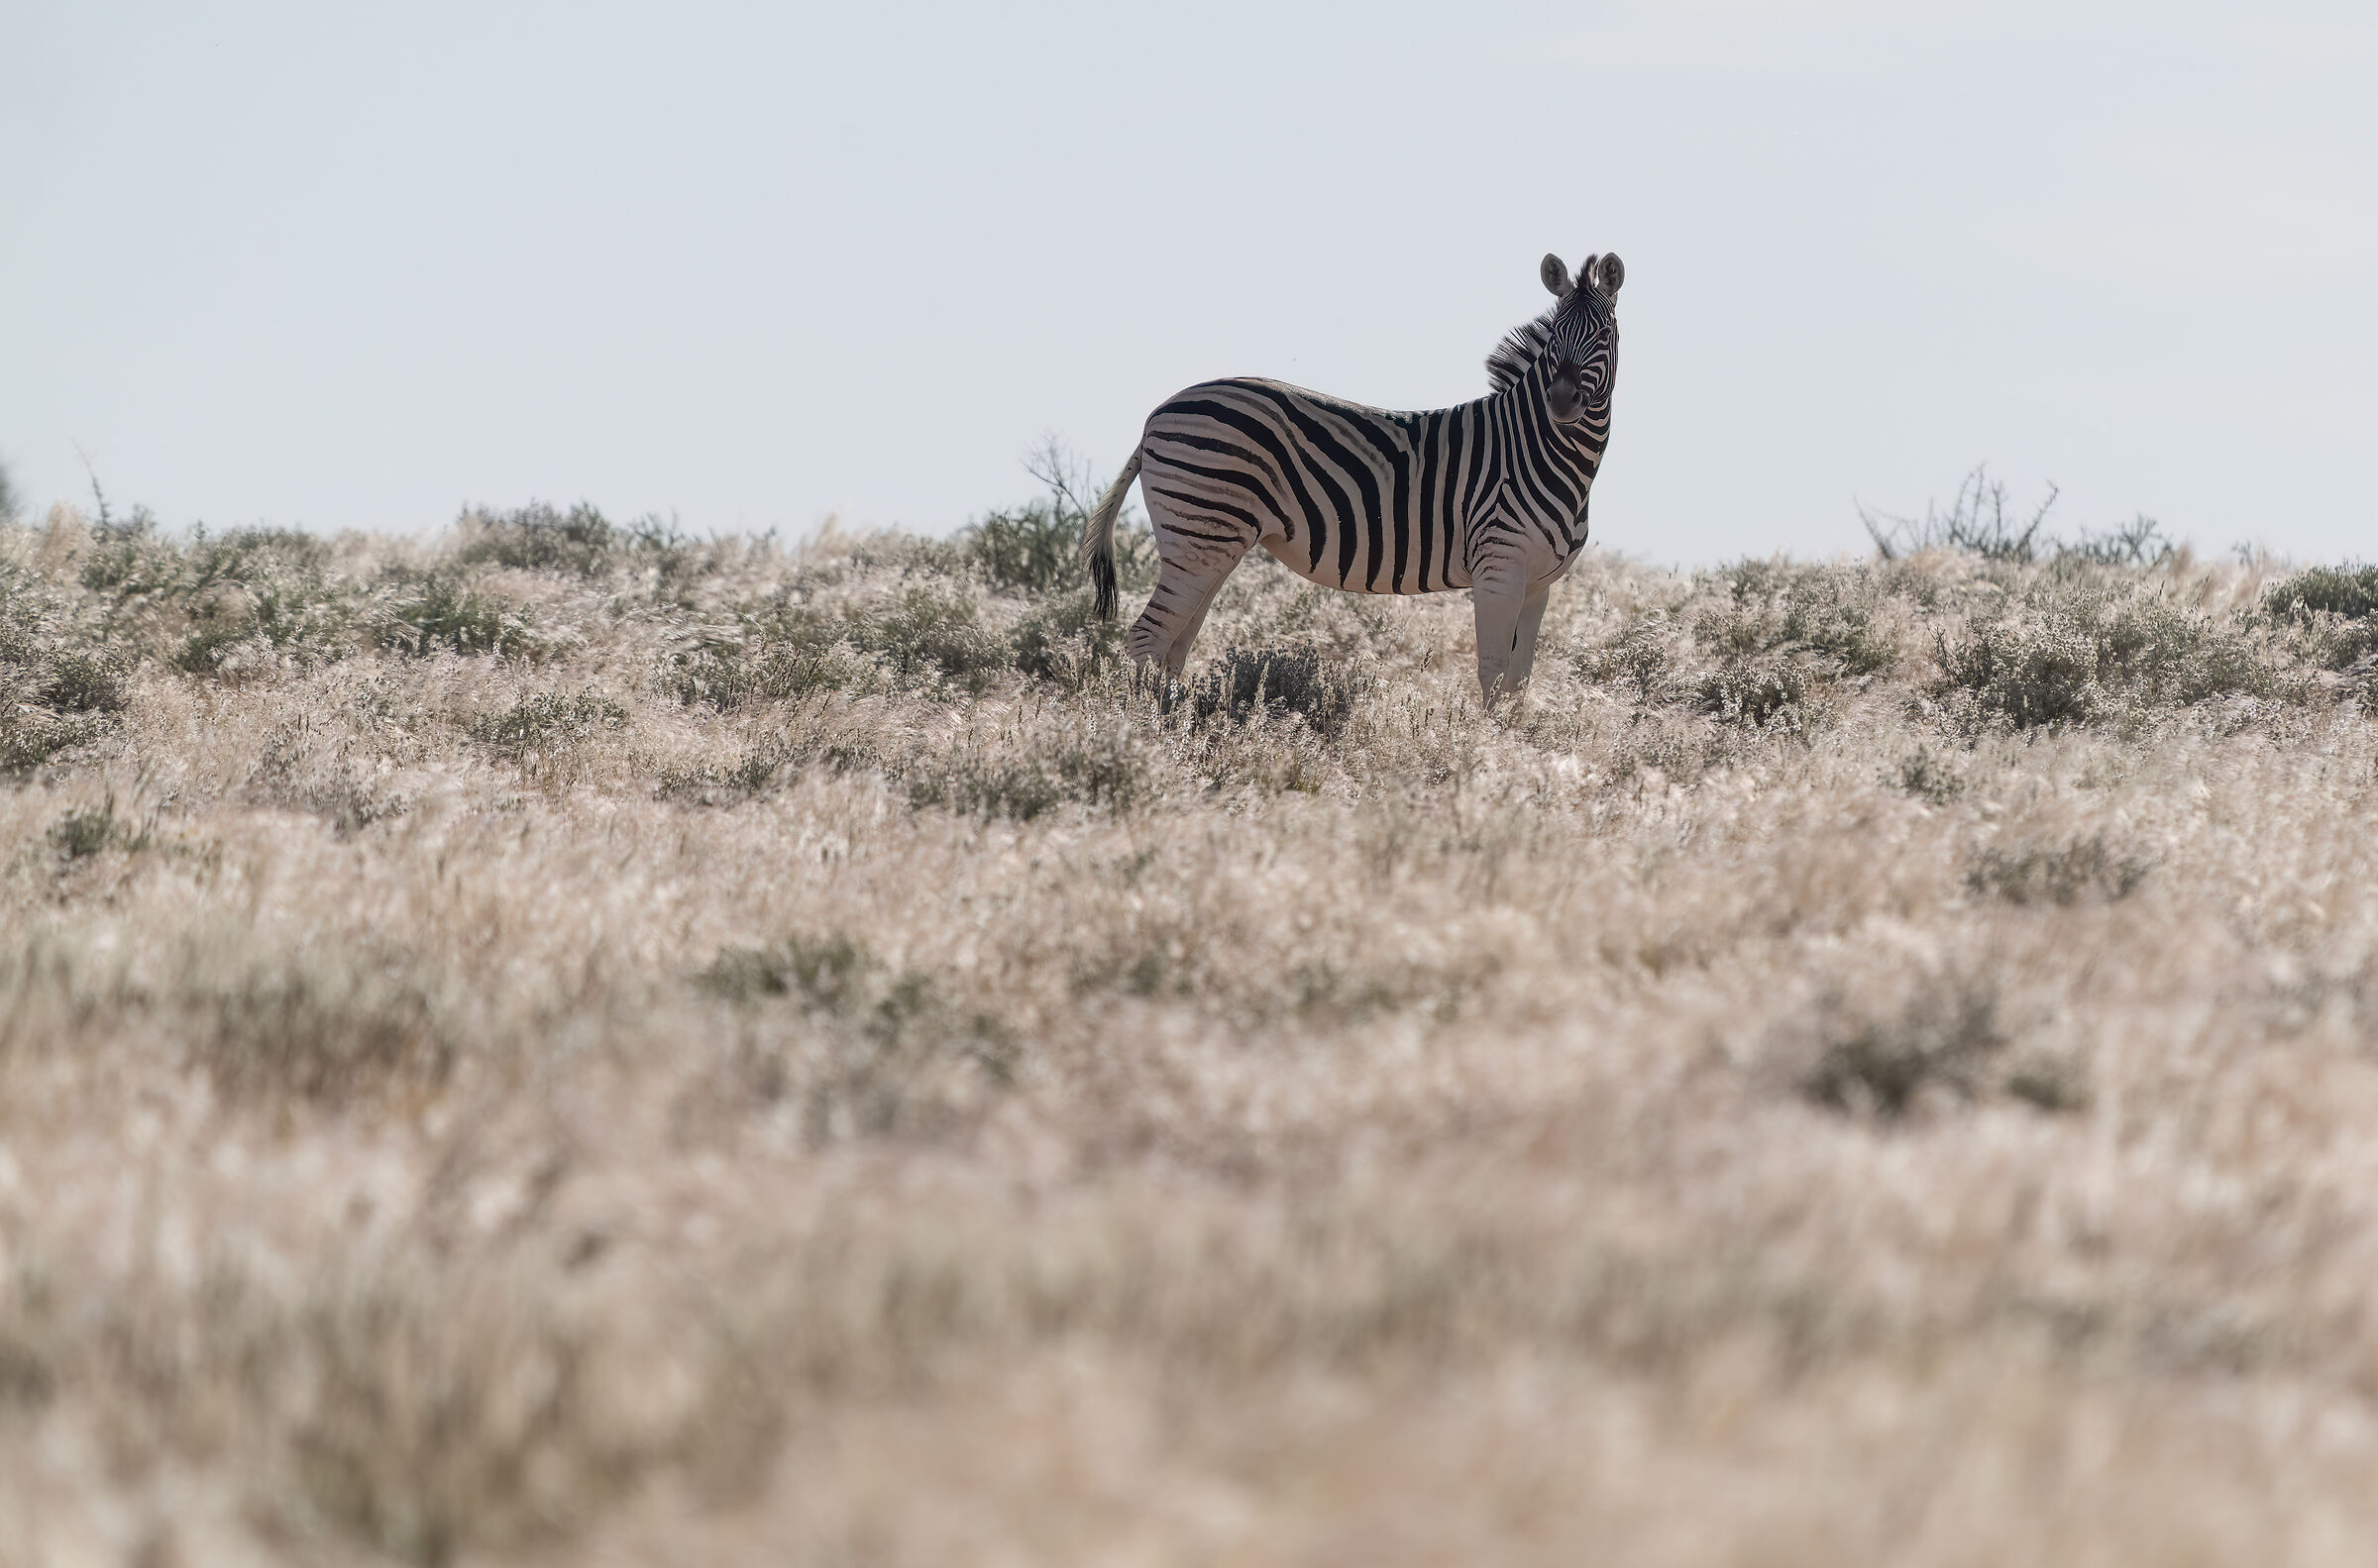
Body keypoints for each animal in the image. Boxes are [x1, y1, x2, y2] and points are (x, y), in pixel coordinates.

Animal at [1079, 250, 1622, 702]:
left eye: (1602, 336)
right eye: (1555, 339)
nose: (1562, 403)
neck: (1540, 448)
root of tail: (1159, 413)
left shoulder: (1538, 584)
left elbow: (1518, 680)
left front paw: (1514, 746)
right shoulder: (1499, 568)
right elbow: (1492, 670)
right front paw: (1482, 749)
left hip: (1212, 545)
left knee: (1175, 643)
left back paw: (1177, 721)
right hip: (1200, 531)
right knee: (1148, 637)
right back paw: (1146, 734)